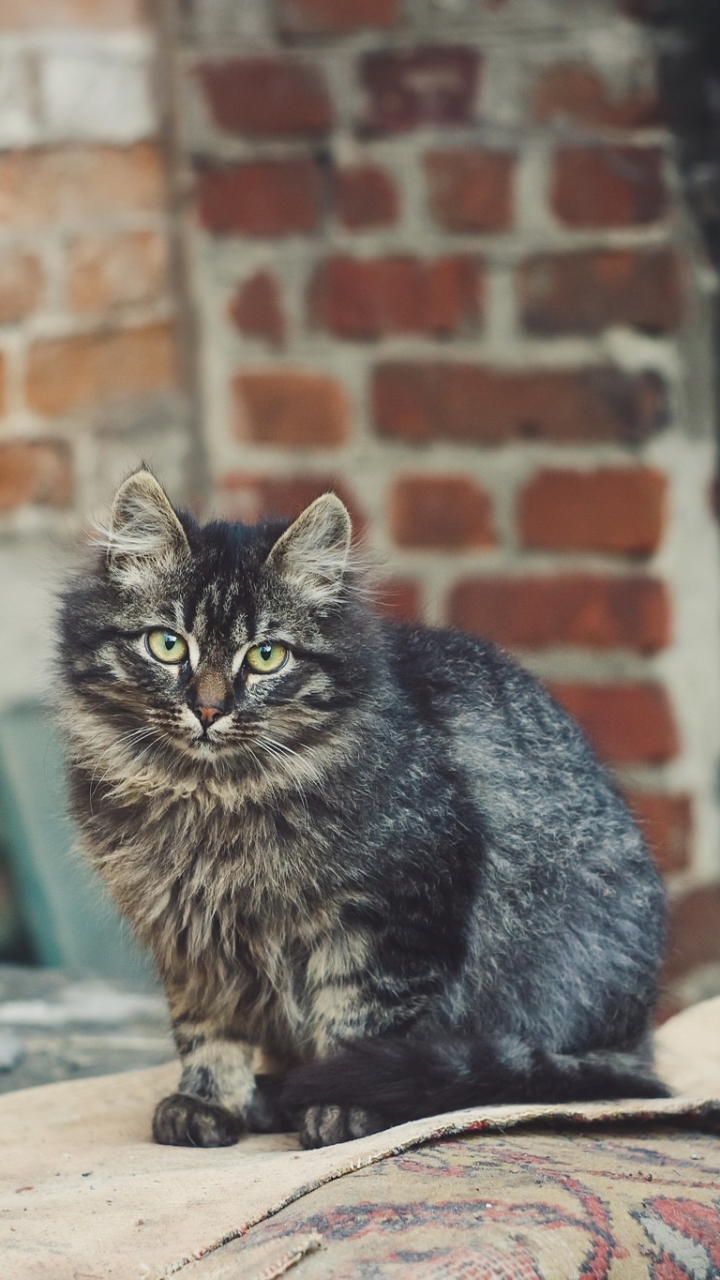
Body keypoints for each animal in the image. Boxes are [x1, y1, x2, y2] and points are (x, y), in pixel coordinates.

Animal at [57, 468, 666, 1152]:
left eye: (266, 656)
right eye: (167, 645)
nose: (209, 710)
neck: (213, 801)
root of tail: (639, 1038)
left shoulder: (390, 919)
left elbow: (358, 1024)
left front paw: (340, 1107)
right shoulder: (189, 940)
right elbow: (208, 1032)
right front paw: (208, 1103)